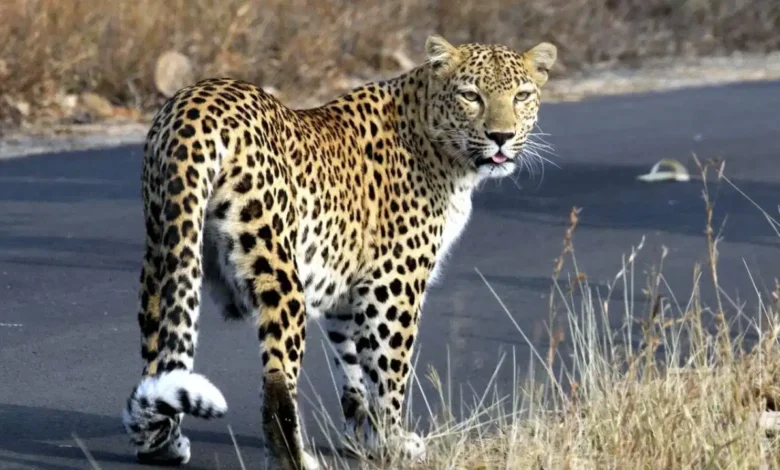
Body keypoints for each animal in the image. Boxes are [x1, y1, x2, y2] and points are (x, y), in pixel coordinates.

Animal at [121, 34, 557, 470]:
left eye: (521, 96)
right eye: (471, 95)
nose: (500, 136)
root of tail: (195, 105)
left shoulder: (347, 289)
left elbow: (352, 364)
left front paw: (362, 437)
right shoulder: (392, 283)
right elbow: (389, 369)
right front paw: (392, 442)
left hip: (164, 253)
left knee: (162, 358)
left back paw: (161, 445)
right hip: (278, 272)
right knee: (277, 382)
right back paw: (296, 459)